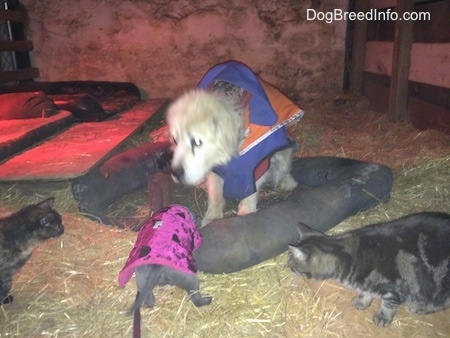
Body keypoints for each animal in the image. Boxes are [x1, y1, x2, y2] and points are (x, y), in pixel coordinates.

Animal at [165, 62, 302, 226]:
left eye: (197, 142)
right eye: (175, 140)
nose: (176, 173)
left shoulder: (258, 161)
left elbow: (252, 185)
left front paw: (247, 210)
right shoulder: (215, 169)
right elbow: (215, 192)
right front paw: (212, 217)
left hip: (282, 157)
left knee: (283, 169)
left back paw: (288, 182)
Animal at [288, 213, 450, 326]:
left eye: (291, 262)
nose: (287, 266)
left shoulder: (396, 288)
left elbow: (388, 305)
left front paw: (383, 317)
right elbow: (366, 292)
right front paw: (362, 301)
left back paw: (423, 308)